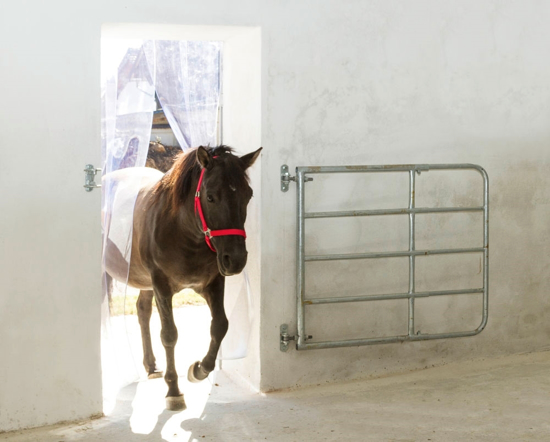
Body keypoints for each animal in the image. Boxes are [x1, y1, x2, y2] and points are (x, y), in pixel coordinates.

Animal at [104, 146, 264, 410]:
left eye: (248, 195)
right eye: (210, 197)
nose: (236, 259)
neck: (182, 230)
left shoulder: (213, 283)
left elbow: (220, 325)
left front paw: (199, 369)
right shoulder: (162, 286)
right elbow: (169, 334)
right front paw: (173, 390)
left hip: (146, 283)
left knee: (142, 311)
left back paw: (151, 365)